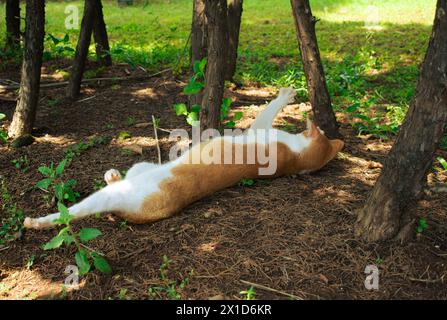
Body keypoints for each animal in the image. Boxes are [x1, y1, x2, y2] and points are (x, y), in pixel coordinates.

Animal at [23, 87, 344, 230]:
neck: (296, 160)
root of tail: (132, 214)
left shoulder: (259, 130)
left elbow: (268, 109)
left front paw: (285, 96)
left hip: (115, 195)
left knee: (72, 213)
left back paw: (36, 221)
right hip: (141, 167)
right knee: (120, 175)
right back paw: (112, 173)